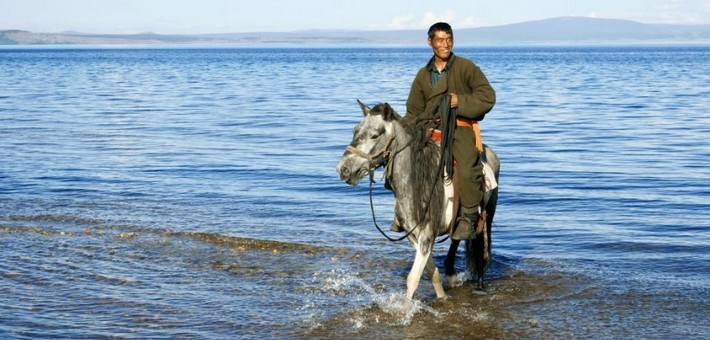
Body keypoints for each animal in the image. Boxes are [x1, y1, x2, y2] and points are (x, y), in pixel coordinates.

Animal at [338, 101, 500, 300]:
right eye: (355, 131)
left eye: (374, 135)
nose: (343, 169)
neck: (416, 181)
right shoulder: (413, 234)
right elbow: (431, 271)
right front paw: (442, 297)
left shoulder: (427, 234)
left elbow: (413, 278)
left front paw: (406, 306)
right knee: (457, 238)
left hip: (488, 215)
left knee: (481, 251)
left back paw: (480, 286)